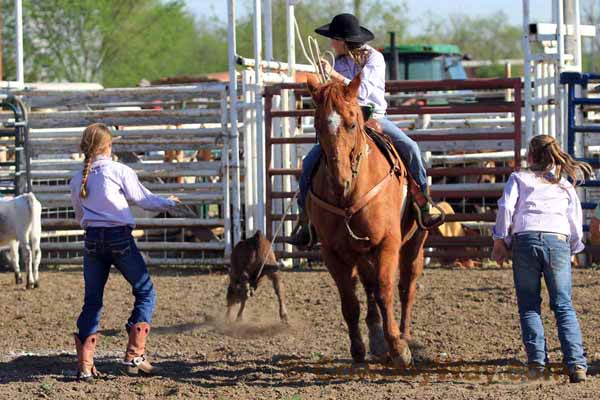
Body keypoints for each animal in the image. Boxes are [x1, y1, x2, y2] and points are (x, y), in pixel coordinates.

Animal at [308, 73, 428, 368]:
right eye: (317, 125)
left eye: (352, 124)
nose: (339, 181)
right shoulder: (332, 253)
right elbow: (350, 302)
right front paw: (359, 349)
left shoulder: (388, 243)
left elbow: (386, 292)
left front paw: (398, 347)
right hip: (360, 253)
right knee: (368, 286)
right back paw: (375, 338)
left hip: (414, 244)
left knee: (406, 286)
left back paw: (405, 335)